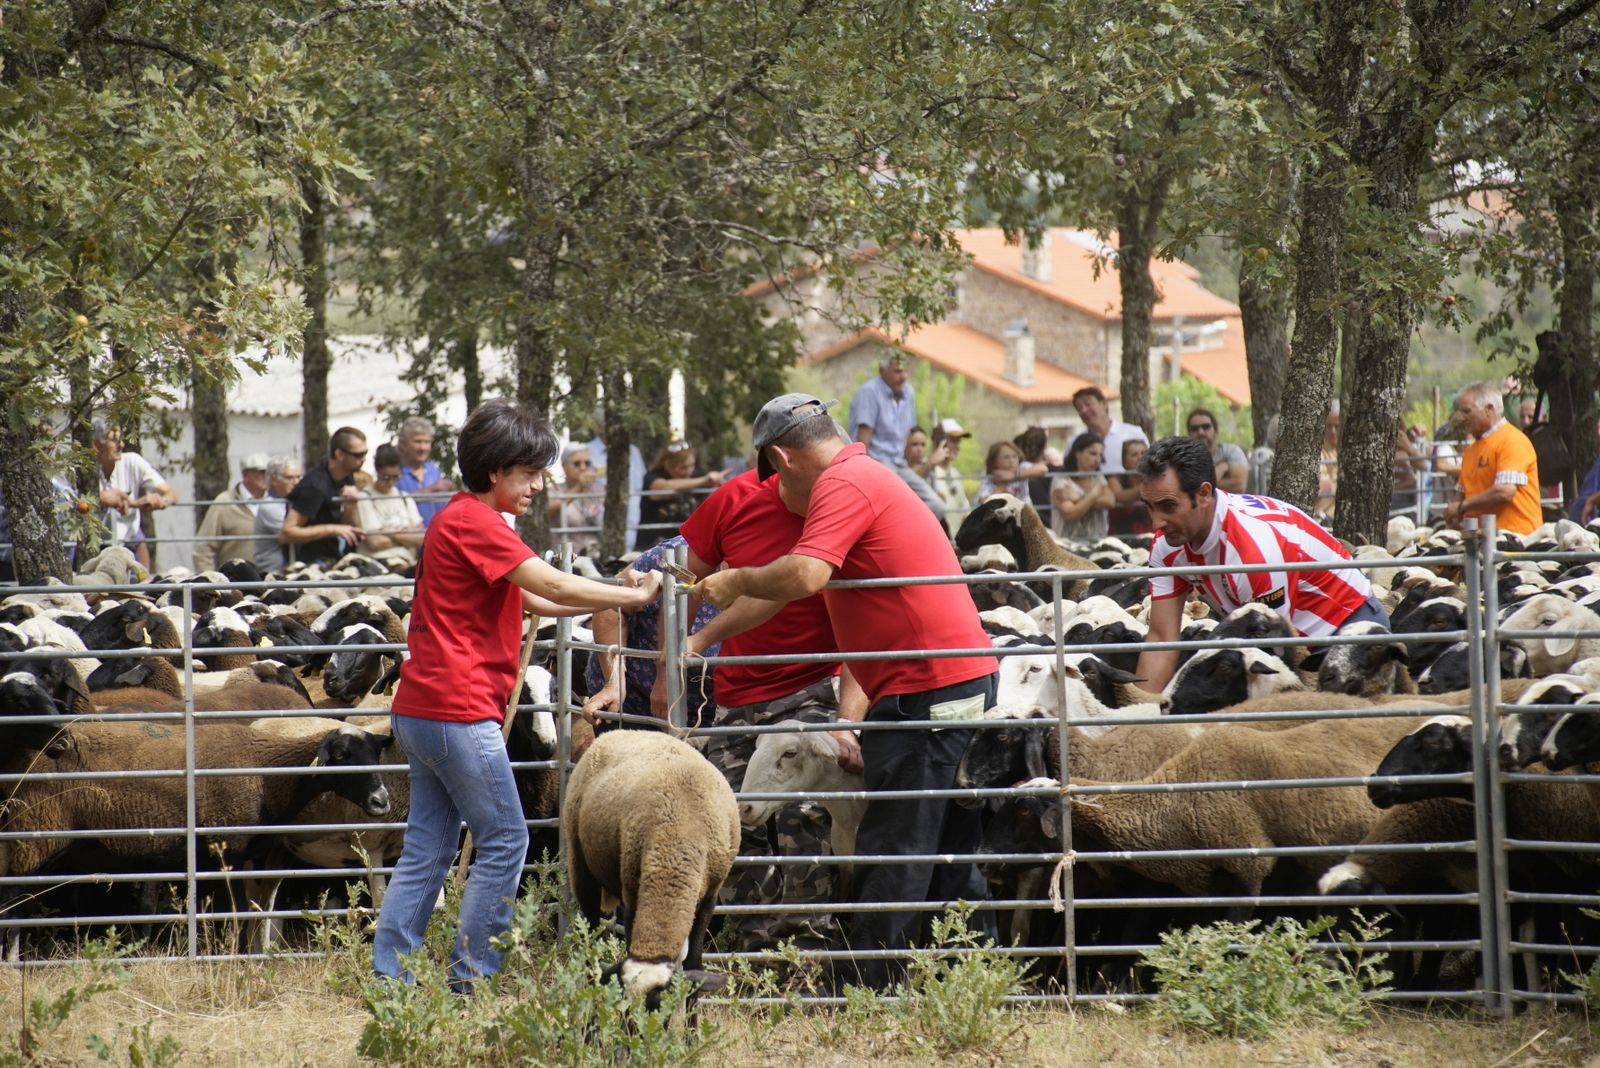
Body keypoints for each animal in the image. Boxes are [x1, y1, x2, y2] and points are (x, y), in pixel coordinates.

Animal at [563, 725, 736, 1004]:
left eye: (657, 1005)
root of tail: (622, 730)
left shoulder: (710, 895)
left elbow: (694, 965)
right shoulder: (632, 894)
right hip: (580, 863)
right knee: (592, 937)